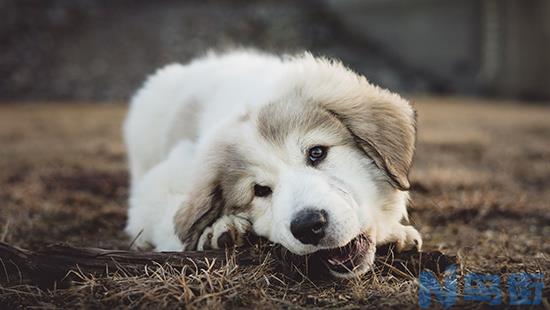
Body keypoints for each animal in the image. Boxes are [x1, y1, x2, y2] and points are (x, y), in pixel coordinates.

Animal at [125, 49, 422, 278]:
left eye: (317, 153)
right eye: (260, 190)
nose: (308, 226)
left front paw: (396, 234)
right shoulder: (162, 181)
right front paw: (217, 230)